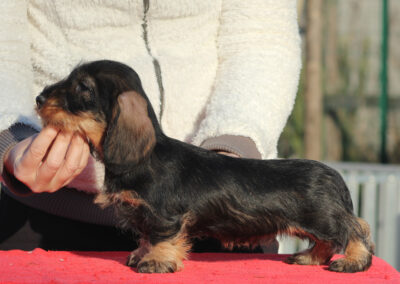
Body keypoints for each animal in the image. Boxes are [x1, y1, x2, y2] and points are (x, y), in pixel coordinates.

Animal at [35, 60, 376, 272]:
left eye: (83, 88)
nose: (38, 99)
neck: (146, 157)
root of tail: (334, 175)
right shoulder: (144, 214)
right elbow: (145, 237)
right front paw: (141, 255)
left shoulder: (164, 215)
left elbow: (160, 238)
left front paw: (156, 263)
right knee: (329, 240)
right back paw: (309, 257)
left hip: (322, 217)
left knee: (356, 229)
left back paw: (352, 262)